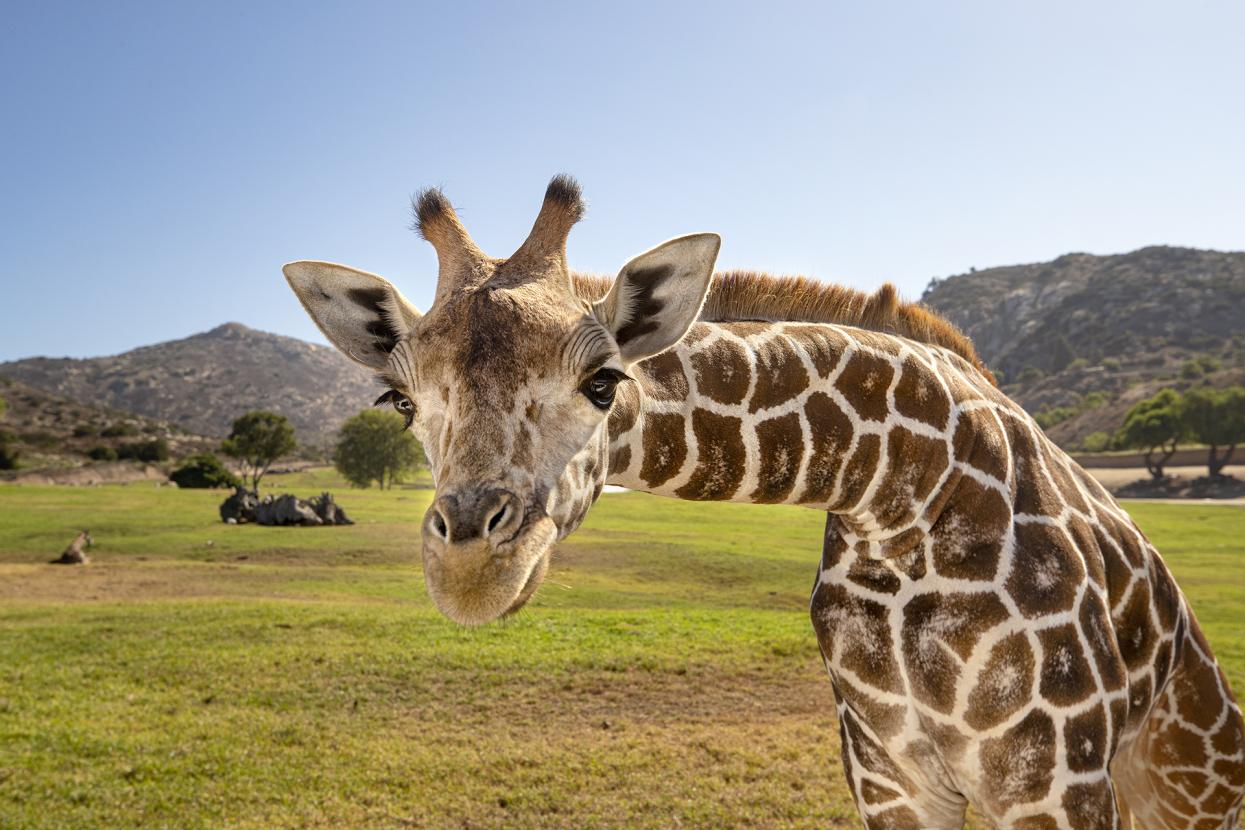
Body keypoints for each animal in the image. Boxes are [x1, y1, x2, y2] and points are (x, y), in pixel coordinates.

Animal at [284, 176, 1245, 828]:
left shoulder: (1050, 778)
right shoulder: (890, 778)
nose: (470, 569)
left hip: (1188, 786)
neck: (896, 497)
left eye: (602, 382)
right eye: (399, 402)